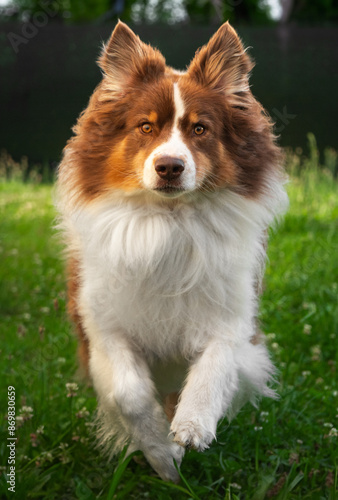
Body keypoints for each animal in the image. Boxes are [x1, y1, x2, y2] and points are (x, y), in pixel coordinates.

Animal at [55, 21, 288, 482]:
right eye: (146, 127)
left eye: (200, 129)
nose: (169, 167)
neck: (168, 222)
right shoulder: (102, 326)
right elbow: (128, 393)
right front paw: (162, 453)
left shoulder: (234, 318)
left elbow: (216, 363)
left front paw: (192, 427)